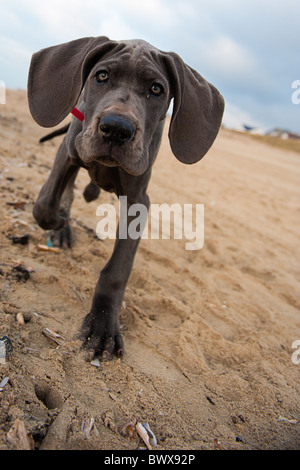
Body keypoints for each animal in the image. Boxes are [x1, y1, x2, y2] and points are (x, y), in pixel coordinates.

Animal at [27, 36, 225, 360]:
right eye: (102, 76)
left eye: (156, 89)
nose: (117, 129)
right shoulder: (68, 152)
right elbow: (44, 204)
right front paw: (58, 222)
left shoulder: (138, 200)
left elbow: (117, 269)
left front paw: (102, 324)